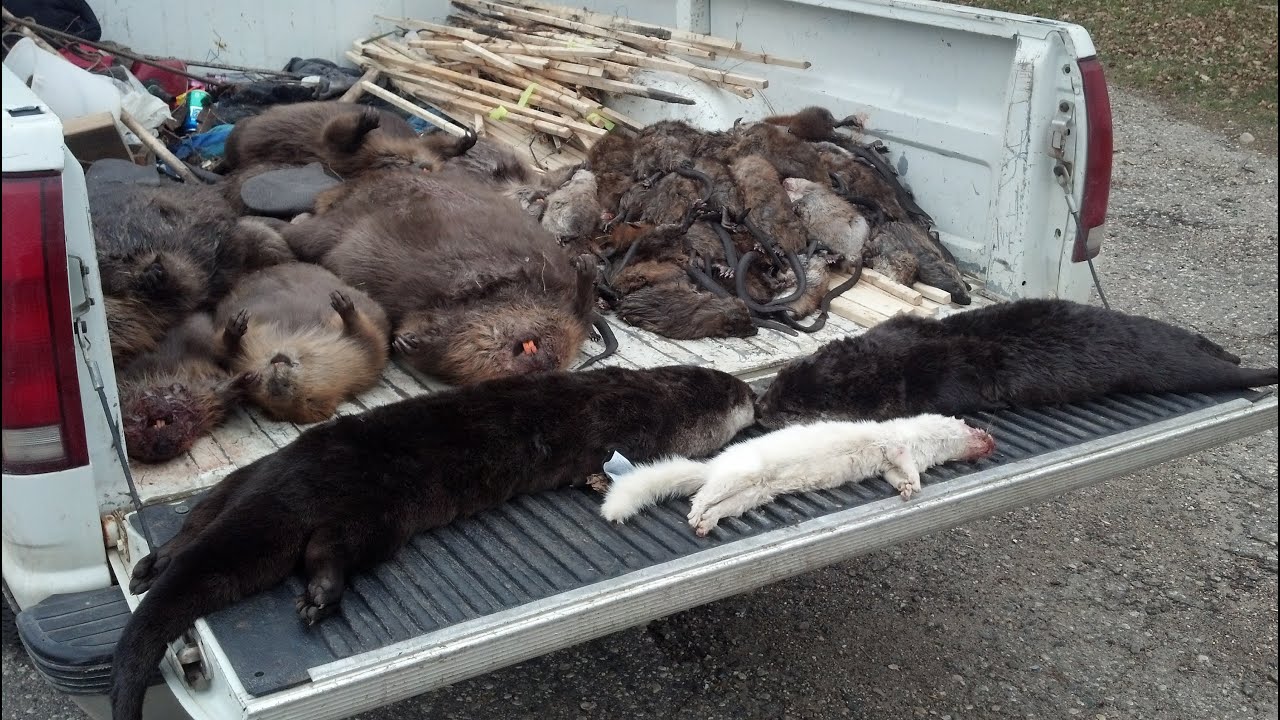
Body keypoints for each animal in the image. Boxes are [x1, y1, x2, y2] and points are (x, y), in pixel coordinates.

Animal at [109, 365, 757, 720]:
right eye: (741, 397)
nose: (756, 399)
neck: (656, 397)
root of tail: (290, 481)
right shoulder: (631, 428)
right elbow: (602, 467)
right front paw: (601, 480)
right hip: (373, 514)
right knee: (328, 549)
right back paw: (322, 597)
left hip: (243, 479)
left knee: (199, 522)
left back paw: (154, 562)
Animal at [214, 263, 391, 424]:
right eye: (267, 386)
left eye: (286, 385)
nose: (276, 378)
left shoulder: (359, 360)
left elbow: (370, 338)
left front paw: (342, 302)